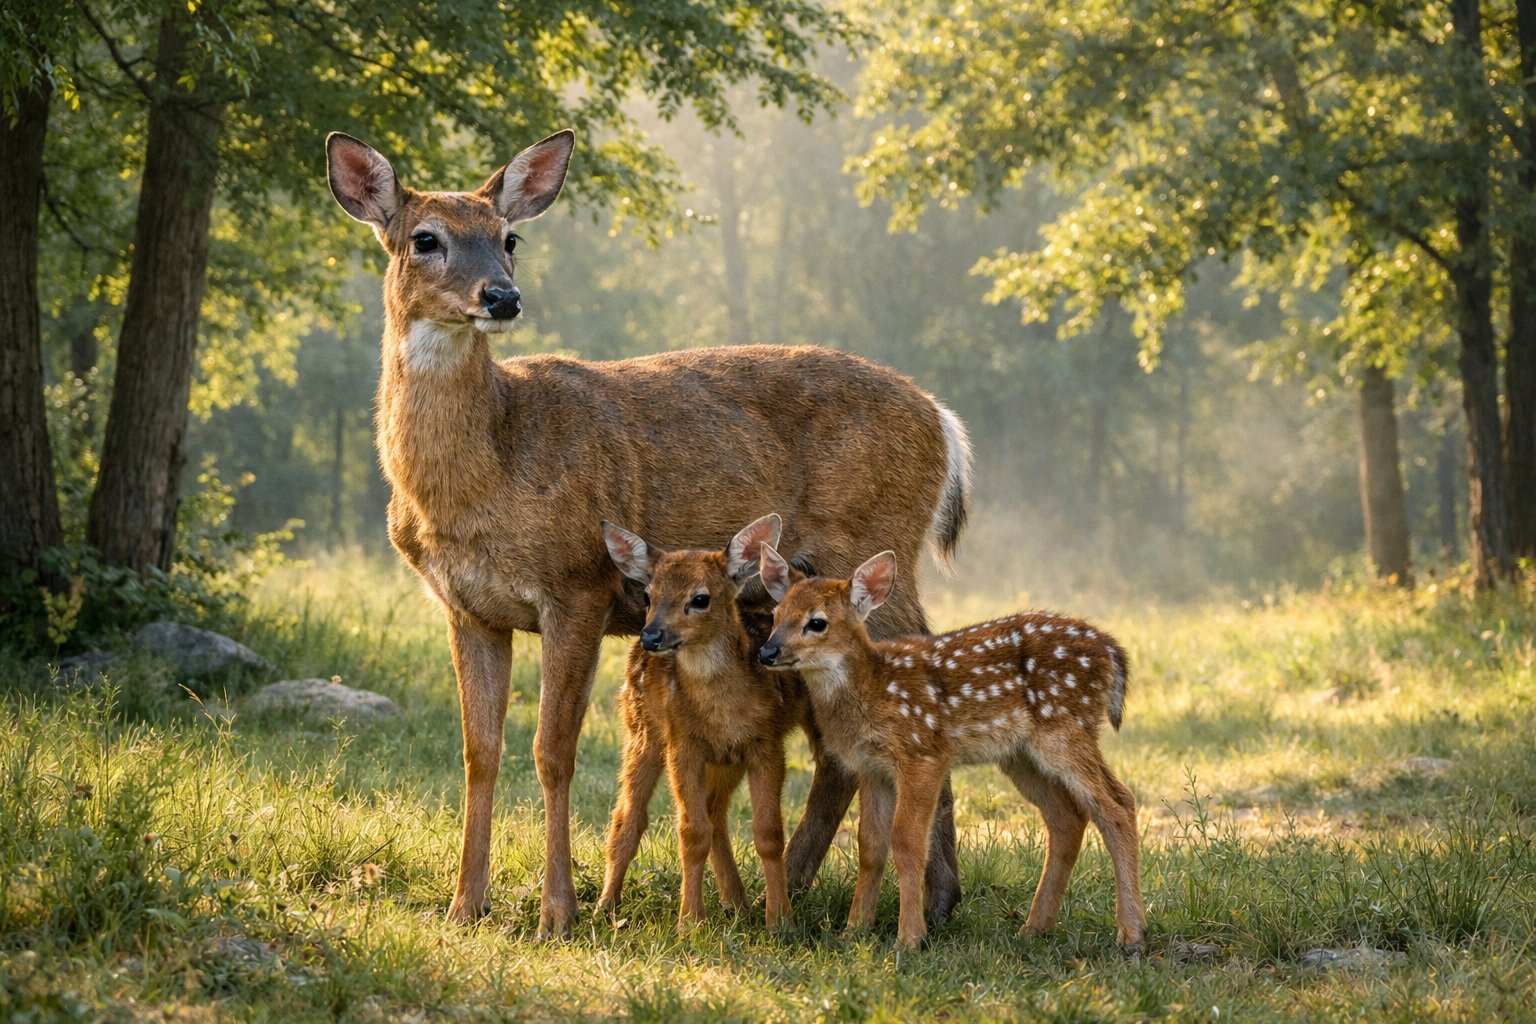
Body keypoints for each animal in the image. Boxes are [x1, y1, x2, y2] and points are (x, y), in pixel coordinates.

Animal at [596, 514, 804, 928]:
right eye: (648, 596)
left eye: (700, 598)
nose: (652, 635)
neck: (723, 711)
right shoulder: (683, 743)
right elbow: (691, 832)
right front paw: (690, 921)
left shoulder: (765, 743)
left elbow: (769, 832)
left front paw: (781, 919)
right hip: (641, 731)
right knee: (629, 816)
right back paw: (605, 905)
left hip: (724, 760)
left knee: (715, 813)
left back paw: (738, 904)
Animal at [757, 546, 1144, 952]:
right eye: (776, 615)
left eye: (817, 622)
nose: (767, 652)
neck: (874, 690)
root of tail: (1112, 653)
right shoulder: (872, 768)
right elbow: (871, 846)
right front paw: (855, 929)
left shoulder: (923, 753)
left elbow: (908, 842)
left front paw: (910, 937)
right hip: (1021, 755)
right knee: (1067, 817)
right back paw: (1034, 928)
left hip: (1065, 728)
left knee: (1118, 805)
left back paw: (1131, 935)